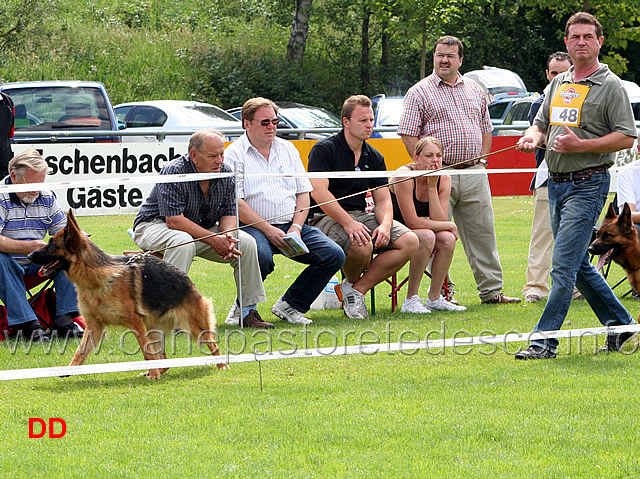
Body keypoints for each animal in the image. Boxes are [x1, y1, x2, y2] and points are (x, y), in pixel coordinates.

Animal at [28, 210, 228, 378]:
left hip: (195, 328)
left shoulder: (135, 323)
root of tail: (187, 280)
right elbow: (80, 351)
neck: (96, 278)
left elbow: (146, 353)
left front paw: (154, 375)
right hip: (154, 331)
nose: (29, 256)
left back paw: (221, 366)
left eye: (52, 244)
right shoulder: (94, 327)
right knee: (164, 360)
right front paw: (70, 369)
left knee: (213, 344)